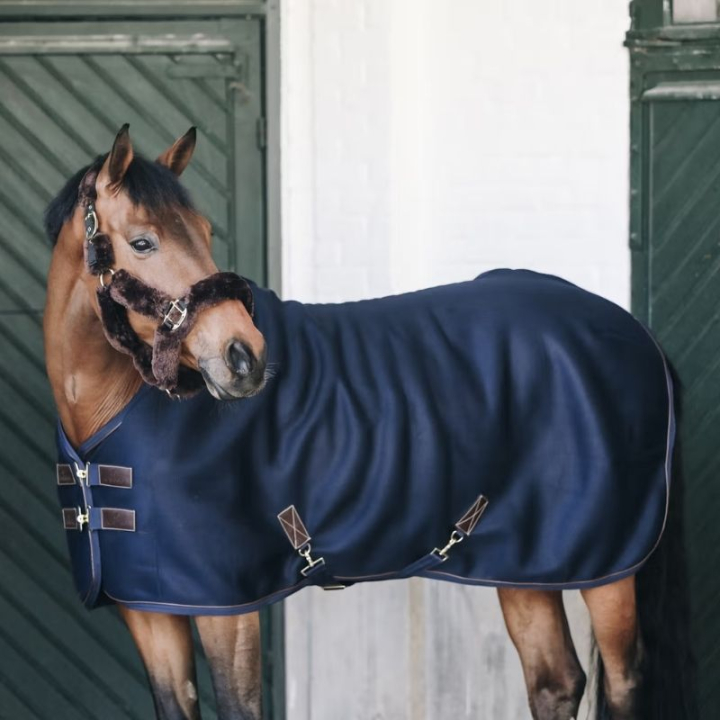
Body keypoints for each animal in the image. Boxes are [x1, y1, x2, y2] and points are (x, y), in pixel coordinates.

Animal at [43, 125, 696, 720]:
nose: (244, 357)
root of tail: (633, 333)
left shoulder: (228, 612)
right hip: (524, 563)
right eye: (143, 242)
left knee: (623, 683)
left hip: (608, 572)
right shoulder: (150, 609)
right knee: (555, 680)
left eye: (203, 233)